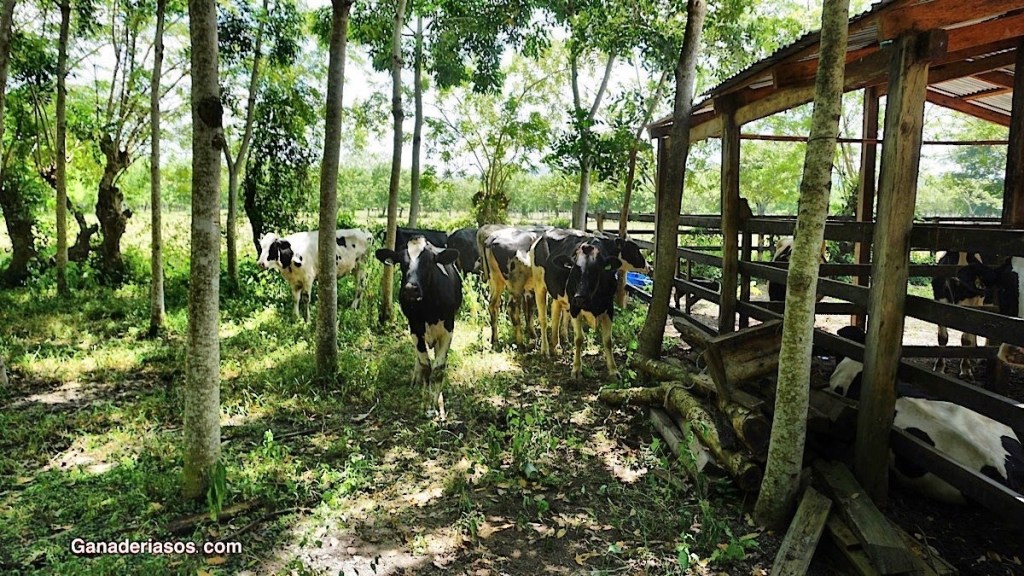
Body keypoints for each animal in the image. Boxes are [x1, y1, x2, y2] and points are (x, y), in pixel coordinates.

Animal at [375, 236, 463, 405]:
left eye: (429, 262)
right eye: (402, 262)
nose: (410, 289)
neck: (428, 309)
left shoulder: (448, 329)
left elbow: (438, 368)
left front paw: (437, 401)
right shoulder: (415, 328)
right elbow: (425, 365)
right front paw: (426, 400)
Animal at [533, 231, 648, 379]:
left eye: (596, 270)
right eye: (574, 269)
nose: (649, 266)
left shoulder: (609, 307)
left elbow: (608, 340)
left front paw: (613, 370)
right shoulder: (575, 306)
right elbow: (579, 339)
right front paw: (576, 369)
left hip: (558, 293)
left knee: (555, 314)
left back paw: (557, 345)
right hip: (539, 286)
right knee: (543, 319)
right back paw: (545, 350)